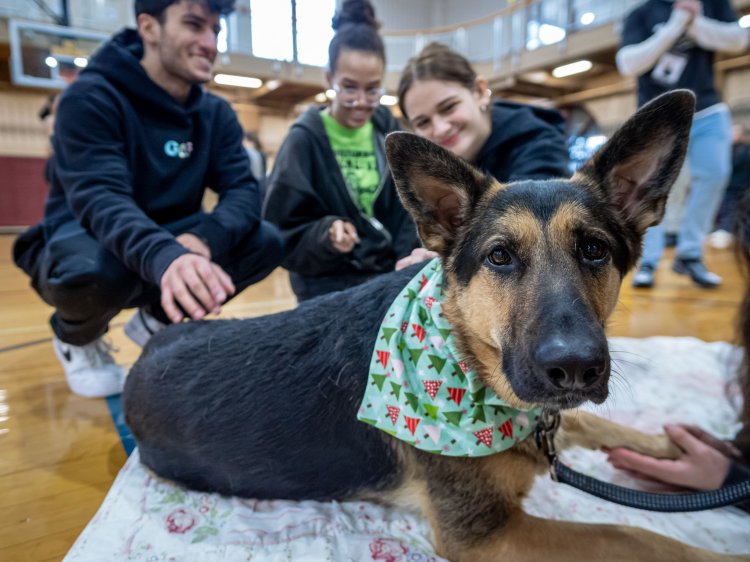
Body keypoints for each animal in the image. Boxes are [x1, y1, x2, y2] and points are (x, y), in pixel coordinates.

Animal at [126, 89, 748, 556]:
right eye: (500, 256)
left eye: (594, 249)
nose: (574, 368)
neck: (466, 358)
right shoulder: (484, 534)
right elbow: (631, 534)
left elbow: (603, 426)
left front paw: (687, 446)